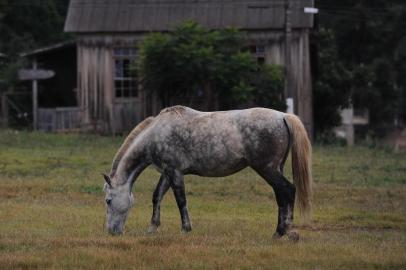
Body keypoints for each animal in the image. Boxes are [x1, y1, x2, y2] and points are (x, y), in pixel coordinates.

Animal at [103, 105, 312, 238]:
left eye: (108, 200)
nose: (111, 231)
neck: (156, 133)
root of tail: (283, 116)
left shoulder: (175, 172)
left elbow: (181, 200)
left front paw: (185, 228)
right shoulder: (167, 172)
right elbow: (157, 196)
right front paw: (152, 227)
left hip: (267, 169)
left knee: (288, 190)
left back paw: (285, 231)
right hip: (275, 168)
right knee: (281, 195)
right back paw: (280, 231)